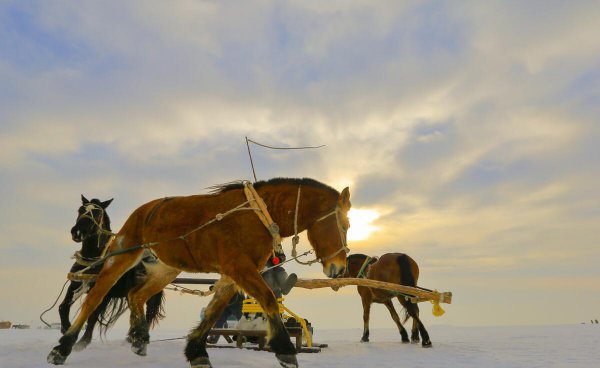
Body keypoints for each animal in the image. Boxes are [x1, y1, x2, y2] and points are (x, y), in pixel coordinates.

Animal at [58, 196, 164, 350]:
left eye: (97, 214)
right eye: (80, 210)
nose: (77, 232)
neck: (95, 259)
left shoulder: (104, 292)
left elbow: (93, 315)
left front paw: (82, 342)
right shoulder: (76, 284)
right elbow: (63, 306)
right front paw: (66, 328)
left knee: (149, 312)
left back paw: (140, 338)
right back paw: (132, 336)